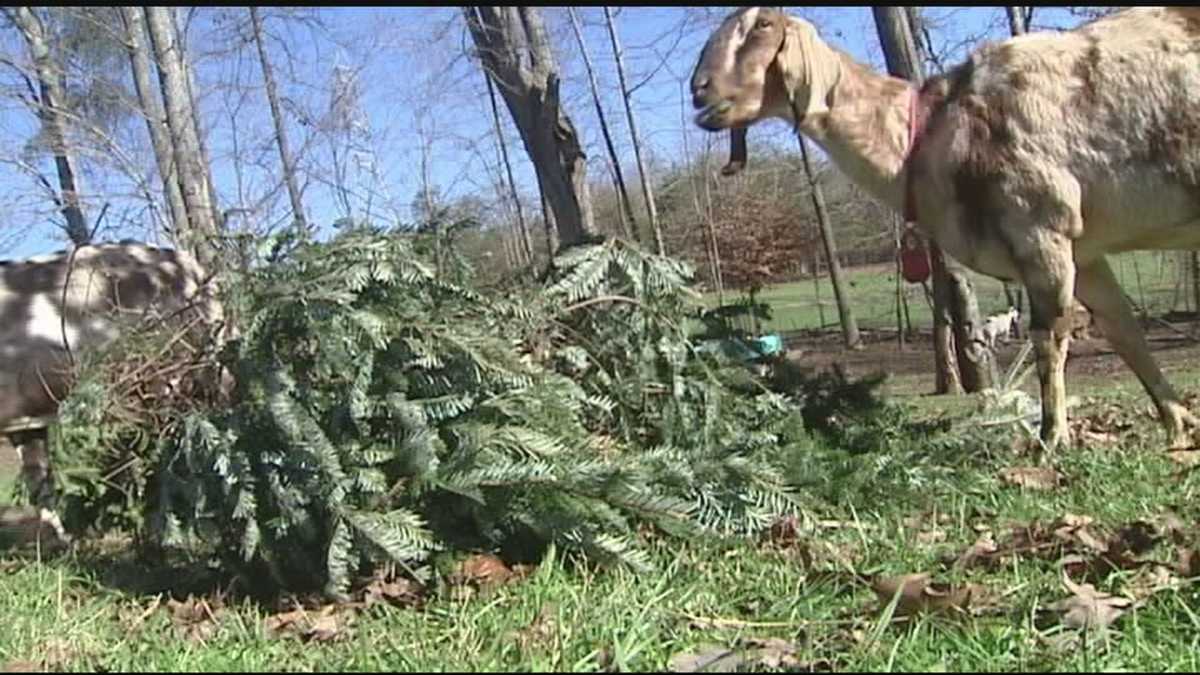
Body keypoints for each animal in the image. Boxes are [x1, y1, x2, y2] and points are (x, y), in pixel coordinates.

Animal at [690, 7, 1200, 450]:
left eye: (763, 25)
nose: (699, 91)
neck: (927, 134)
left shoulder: (1040, 226)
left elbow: (1049, 337)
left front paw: (1049, 441)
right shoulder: (1084, 251)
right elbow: (1123, 330)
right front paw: (1179, 425)